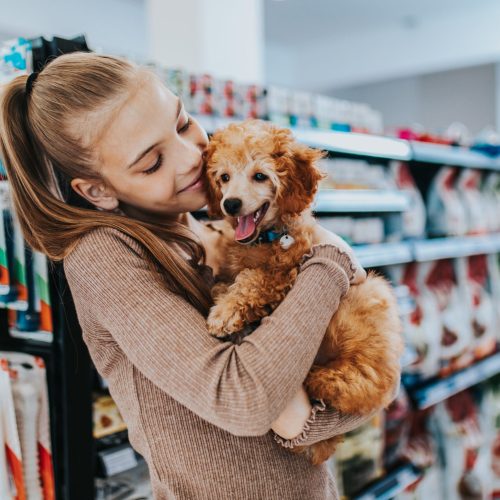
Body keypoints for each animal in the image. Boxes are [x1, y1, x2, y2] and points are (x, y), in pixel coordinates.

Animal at [203, 119, 402, 462]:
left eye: (260, 175)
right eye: (224, 177)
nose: (230, 204)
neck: (267, 237)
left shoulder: (286, 273)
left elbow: (253, 279)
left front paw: (225, 313)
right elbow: (232, 279)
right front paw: (221, 292)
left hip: (369, 306)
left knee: (361, 383)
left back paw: (319, 378)